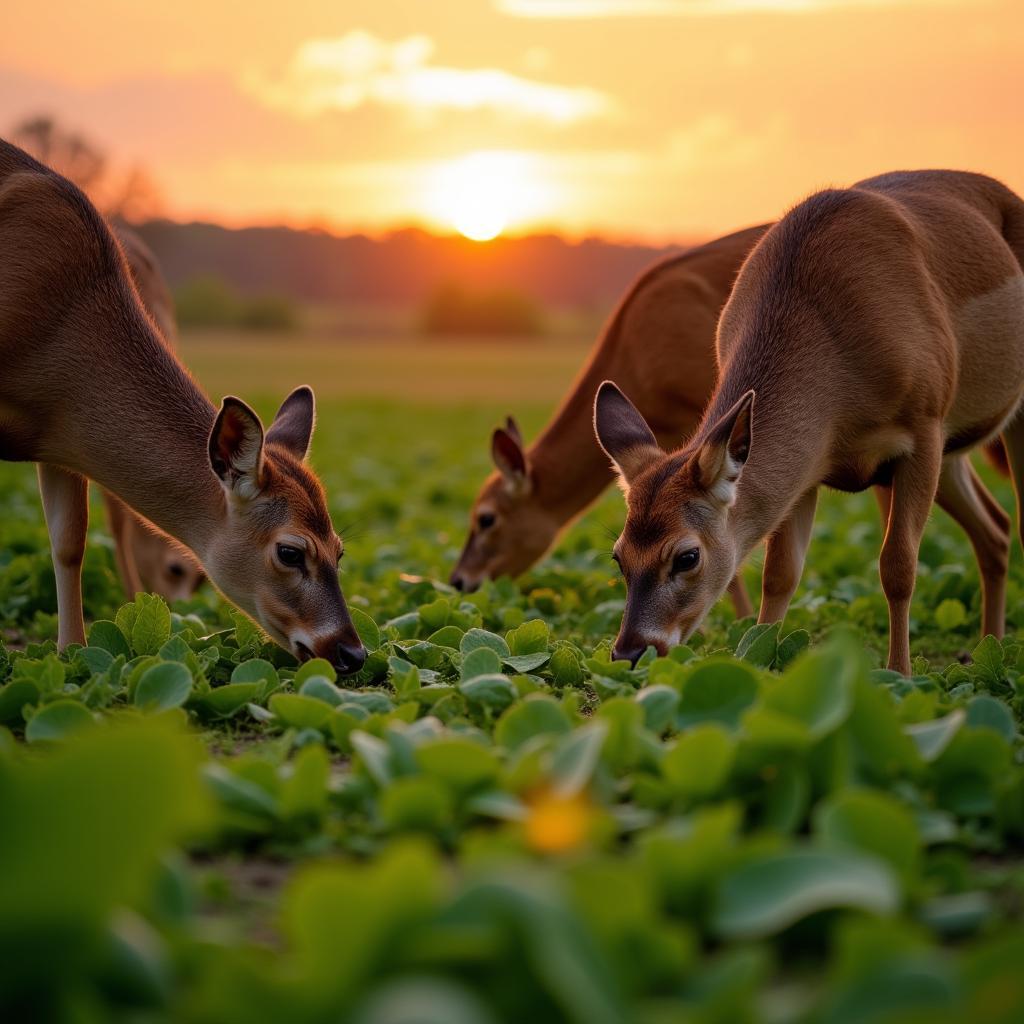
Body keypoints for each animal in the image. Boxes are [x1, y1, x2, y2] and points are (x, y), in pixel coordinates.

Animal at [593, 171, 1024, 675]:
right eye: (618, 557)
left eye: (687, 556)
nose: (629, 651)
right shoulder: (808, 468)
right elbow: (780, 575)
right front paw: (757, 661)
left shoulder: (924, 427)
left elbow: (898, 566)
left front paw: (900, 674)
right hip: (952, 452)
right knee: (996, 529)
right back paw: (988, 651)